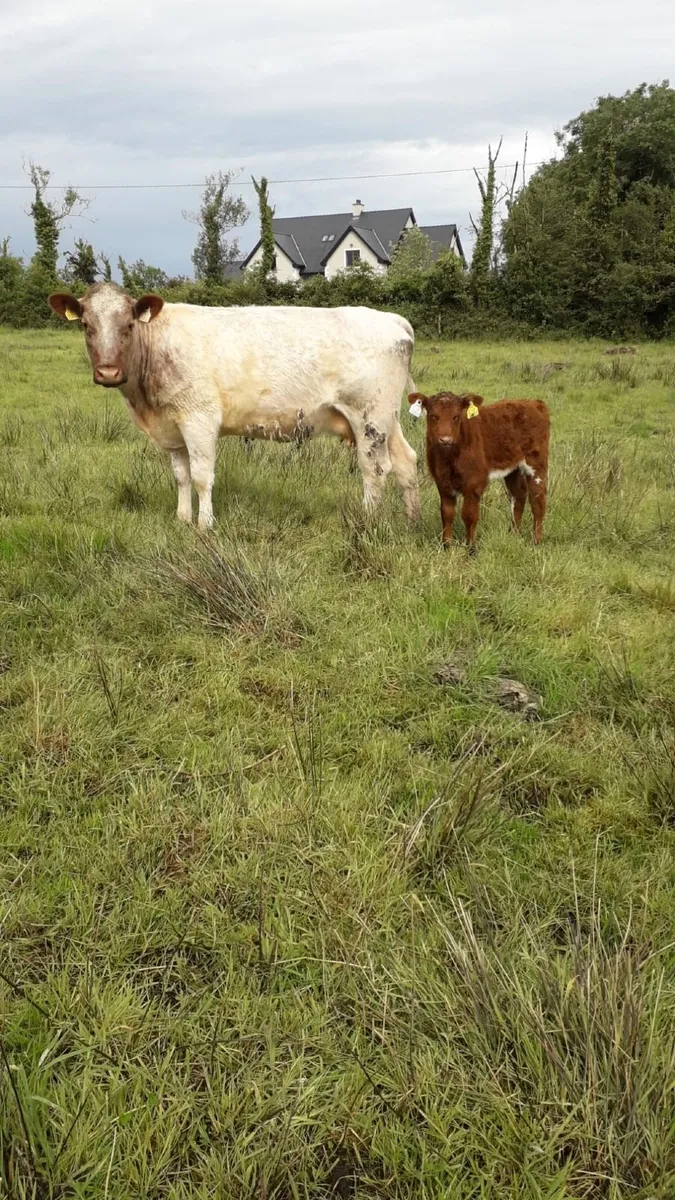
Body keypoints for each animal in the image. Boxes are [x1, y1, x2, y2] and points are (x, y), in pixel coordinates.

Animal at [48, 284, 419, 529]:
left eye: (128, 324)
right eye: (86, 326)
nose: (108, 372)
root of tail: (391, 319)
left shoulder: (199, 419)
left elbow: (201, 476)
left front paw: (204, 525)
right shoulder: (172, 428)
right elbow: (181, 476)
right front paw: (182, 519)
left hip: (369, 416)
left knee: (375, 469)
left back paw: (367, 521)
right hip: (387, 419)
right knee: (406, 460)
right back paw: (411, 520)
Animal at [408, 391, 550, 548]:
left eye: (456, 416)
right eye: (433, 416)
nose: (445, 439)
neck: (448, 458)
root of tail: (534, 403)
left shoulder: (474, 481)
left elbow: (469, 515)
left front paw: (471, 547)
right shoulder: (442, 481)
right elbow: (447, 513)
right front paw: (447, 546)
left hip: (536, 462)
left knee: (537, 500)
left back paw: (536, 541)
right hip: (513, 469)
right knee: (518, 496)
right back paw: (514, 535)